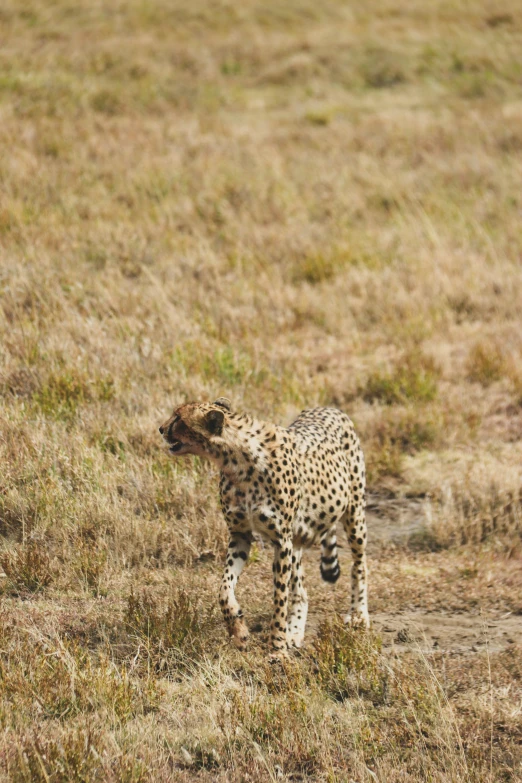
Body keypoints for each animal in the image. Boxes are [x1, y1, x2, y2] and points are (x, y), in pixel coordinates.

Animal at [158, 398, 370, 656]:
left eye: (178, 418)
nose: (161, 429)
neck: (236, 461)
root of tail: (328, 407)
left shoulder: (281, 540)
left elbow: (279, 598)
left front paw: (277, 647)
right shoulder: (240, 534)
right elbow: (224, 589)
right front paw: (239, 631)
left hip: (354, 514)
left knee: (359, 567)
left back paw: (358, 615)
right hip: (297, 538)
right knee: (301, 590)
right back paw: (295, 631)